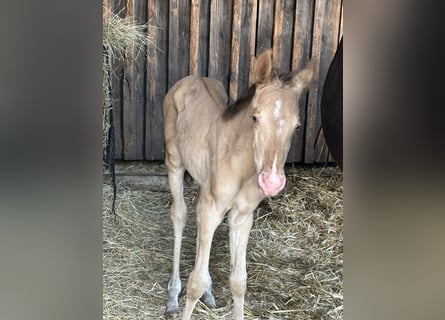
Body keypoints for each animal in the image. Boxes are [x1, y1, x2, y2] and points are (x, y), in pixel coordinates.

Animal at [162, 48, 312, 318]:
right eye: (255, 117)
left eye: (297, 126)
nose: (272, 182)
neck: (241, 165)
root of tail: (189, 78)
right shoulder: (212, 209)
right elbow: (195, 282)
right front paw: (191, 293)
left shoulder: (242, 216)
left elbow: (239, 281)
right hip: (174, 163)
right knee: (179, 214)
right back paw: (172, 297)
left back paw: (209, 293)